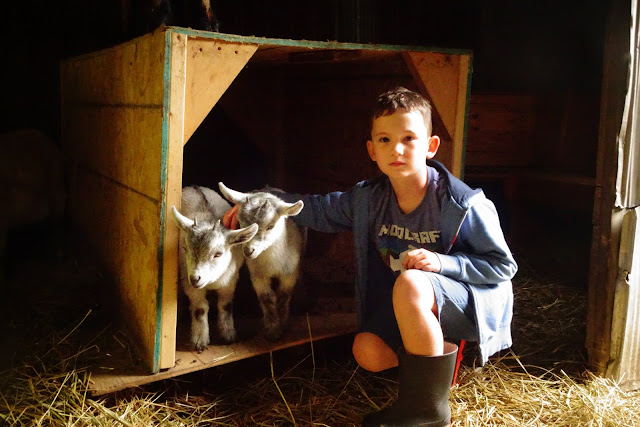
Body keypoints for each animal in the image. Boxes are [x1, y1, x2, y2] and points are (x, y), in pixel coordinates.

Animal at [171, 185, 257, 351]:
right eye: (185, 249)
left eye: (218, 253)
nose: (195, 278)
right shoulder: (190, 284)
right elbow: (200, 309)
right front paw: (200, 340)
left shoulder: (229, 282)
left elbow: (225, 305)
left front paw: (228, 334)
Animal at [218, 182, 305, 341]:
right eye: (240, 222)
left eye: (270, 226)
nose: (248, 251)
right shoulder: (257, 274)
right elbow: (267, 298)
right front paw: (272, 329)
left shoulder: (290, 273)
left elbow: (283, 296)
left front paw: (282, 324)